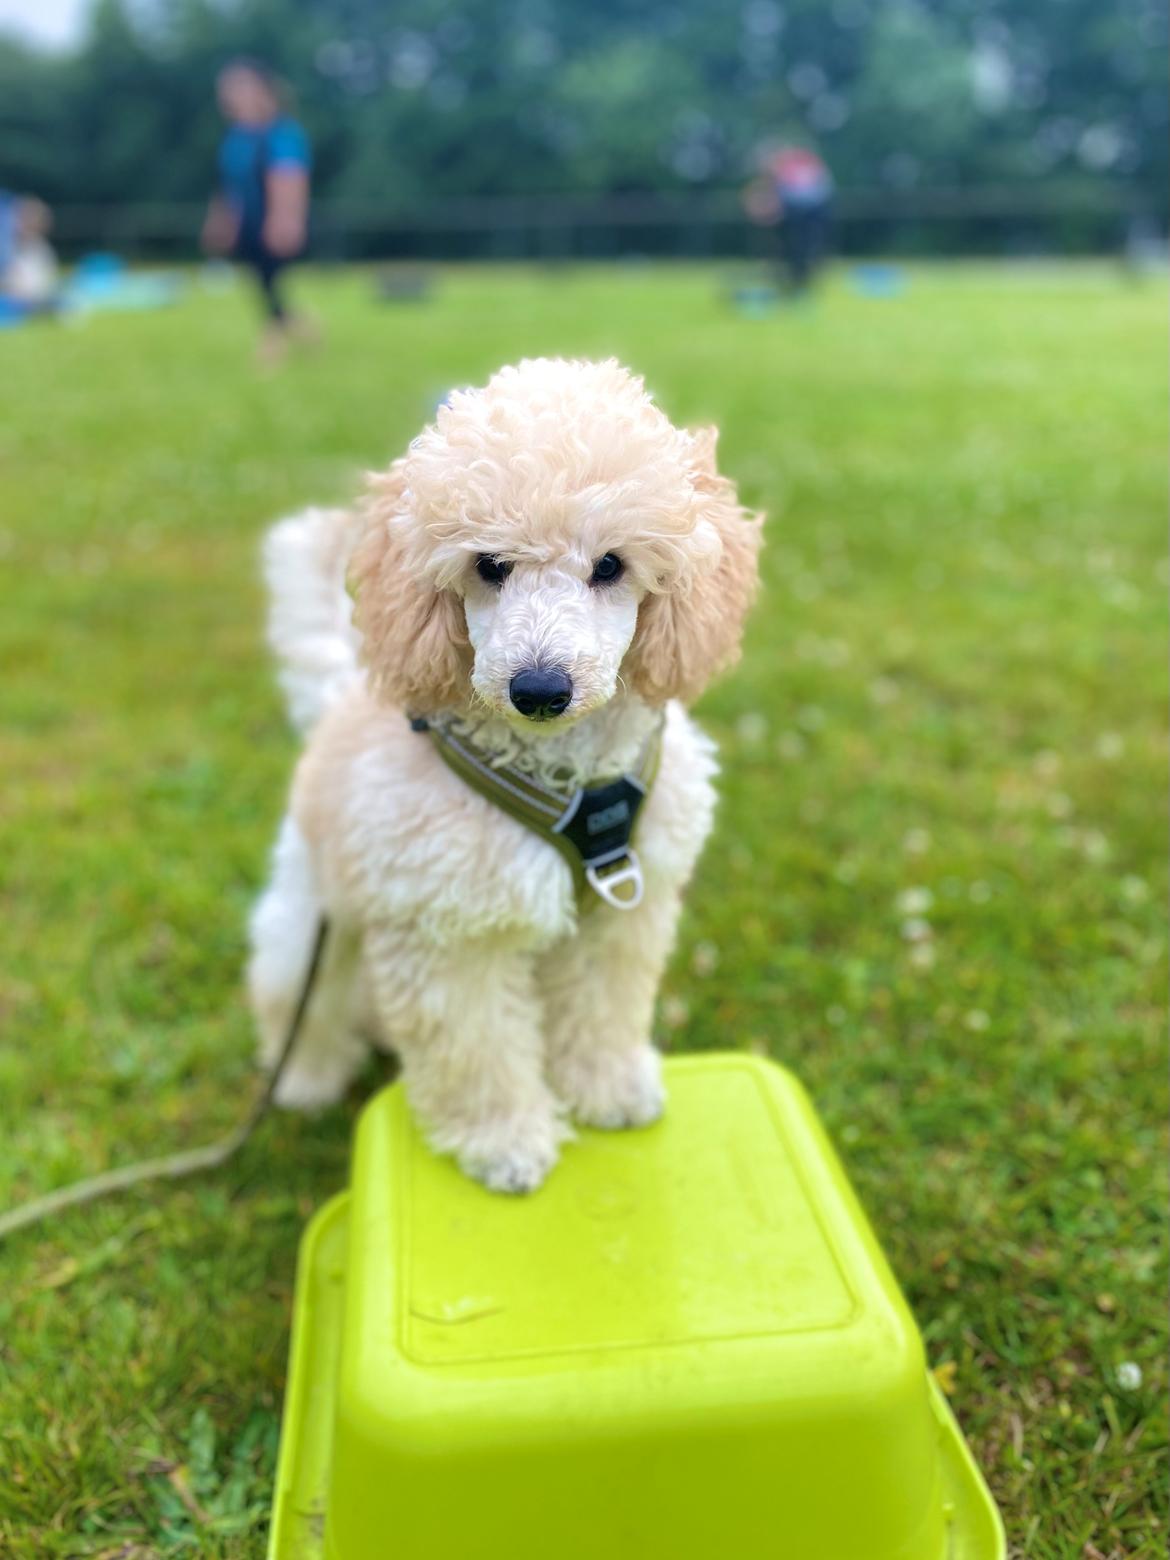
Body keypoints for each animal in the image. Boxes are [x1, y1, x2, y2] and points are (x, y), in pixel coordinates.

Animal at [249, 358, 761, 1191]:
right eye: (489, 566)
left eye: (610, 565)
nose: (540, 689)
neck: (564, 777)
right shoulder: (450, 935)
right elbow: (476, 1049)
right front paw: (506, 1143)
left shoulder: (623, 911)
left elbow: (605, 1007)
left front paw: (609, 1089)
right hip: (306, 928)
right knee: (297, 1004)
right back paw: (304, 1080)